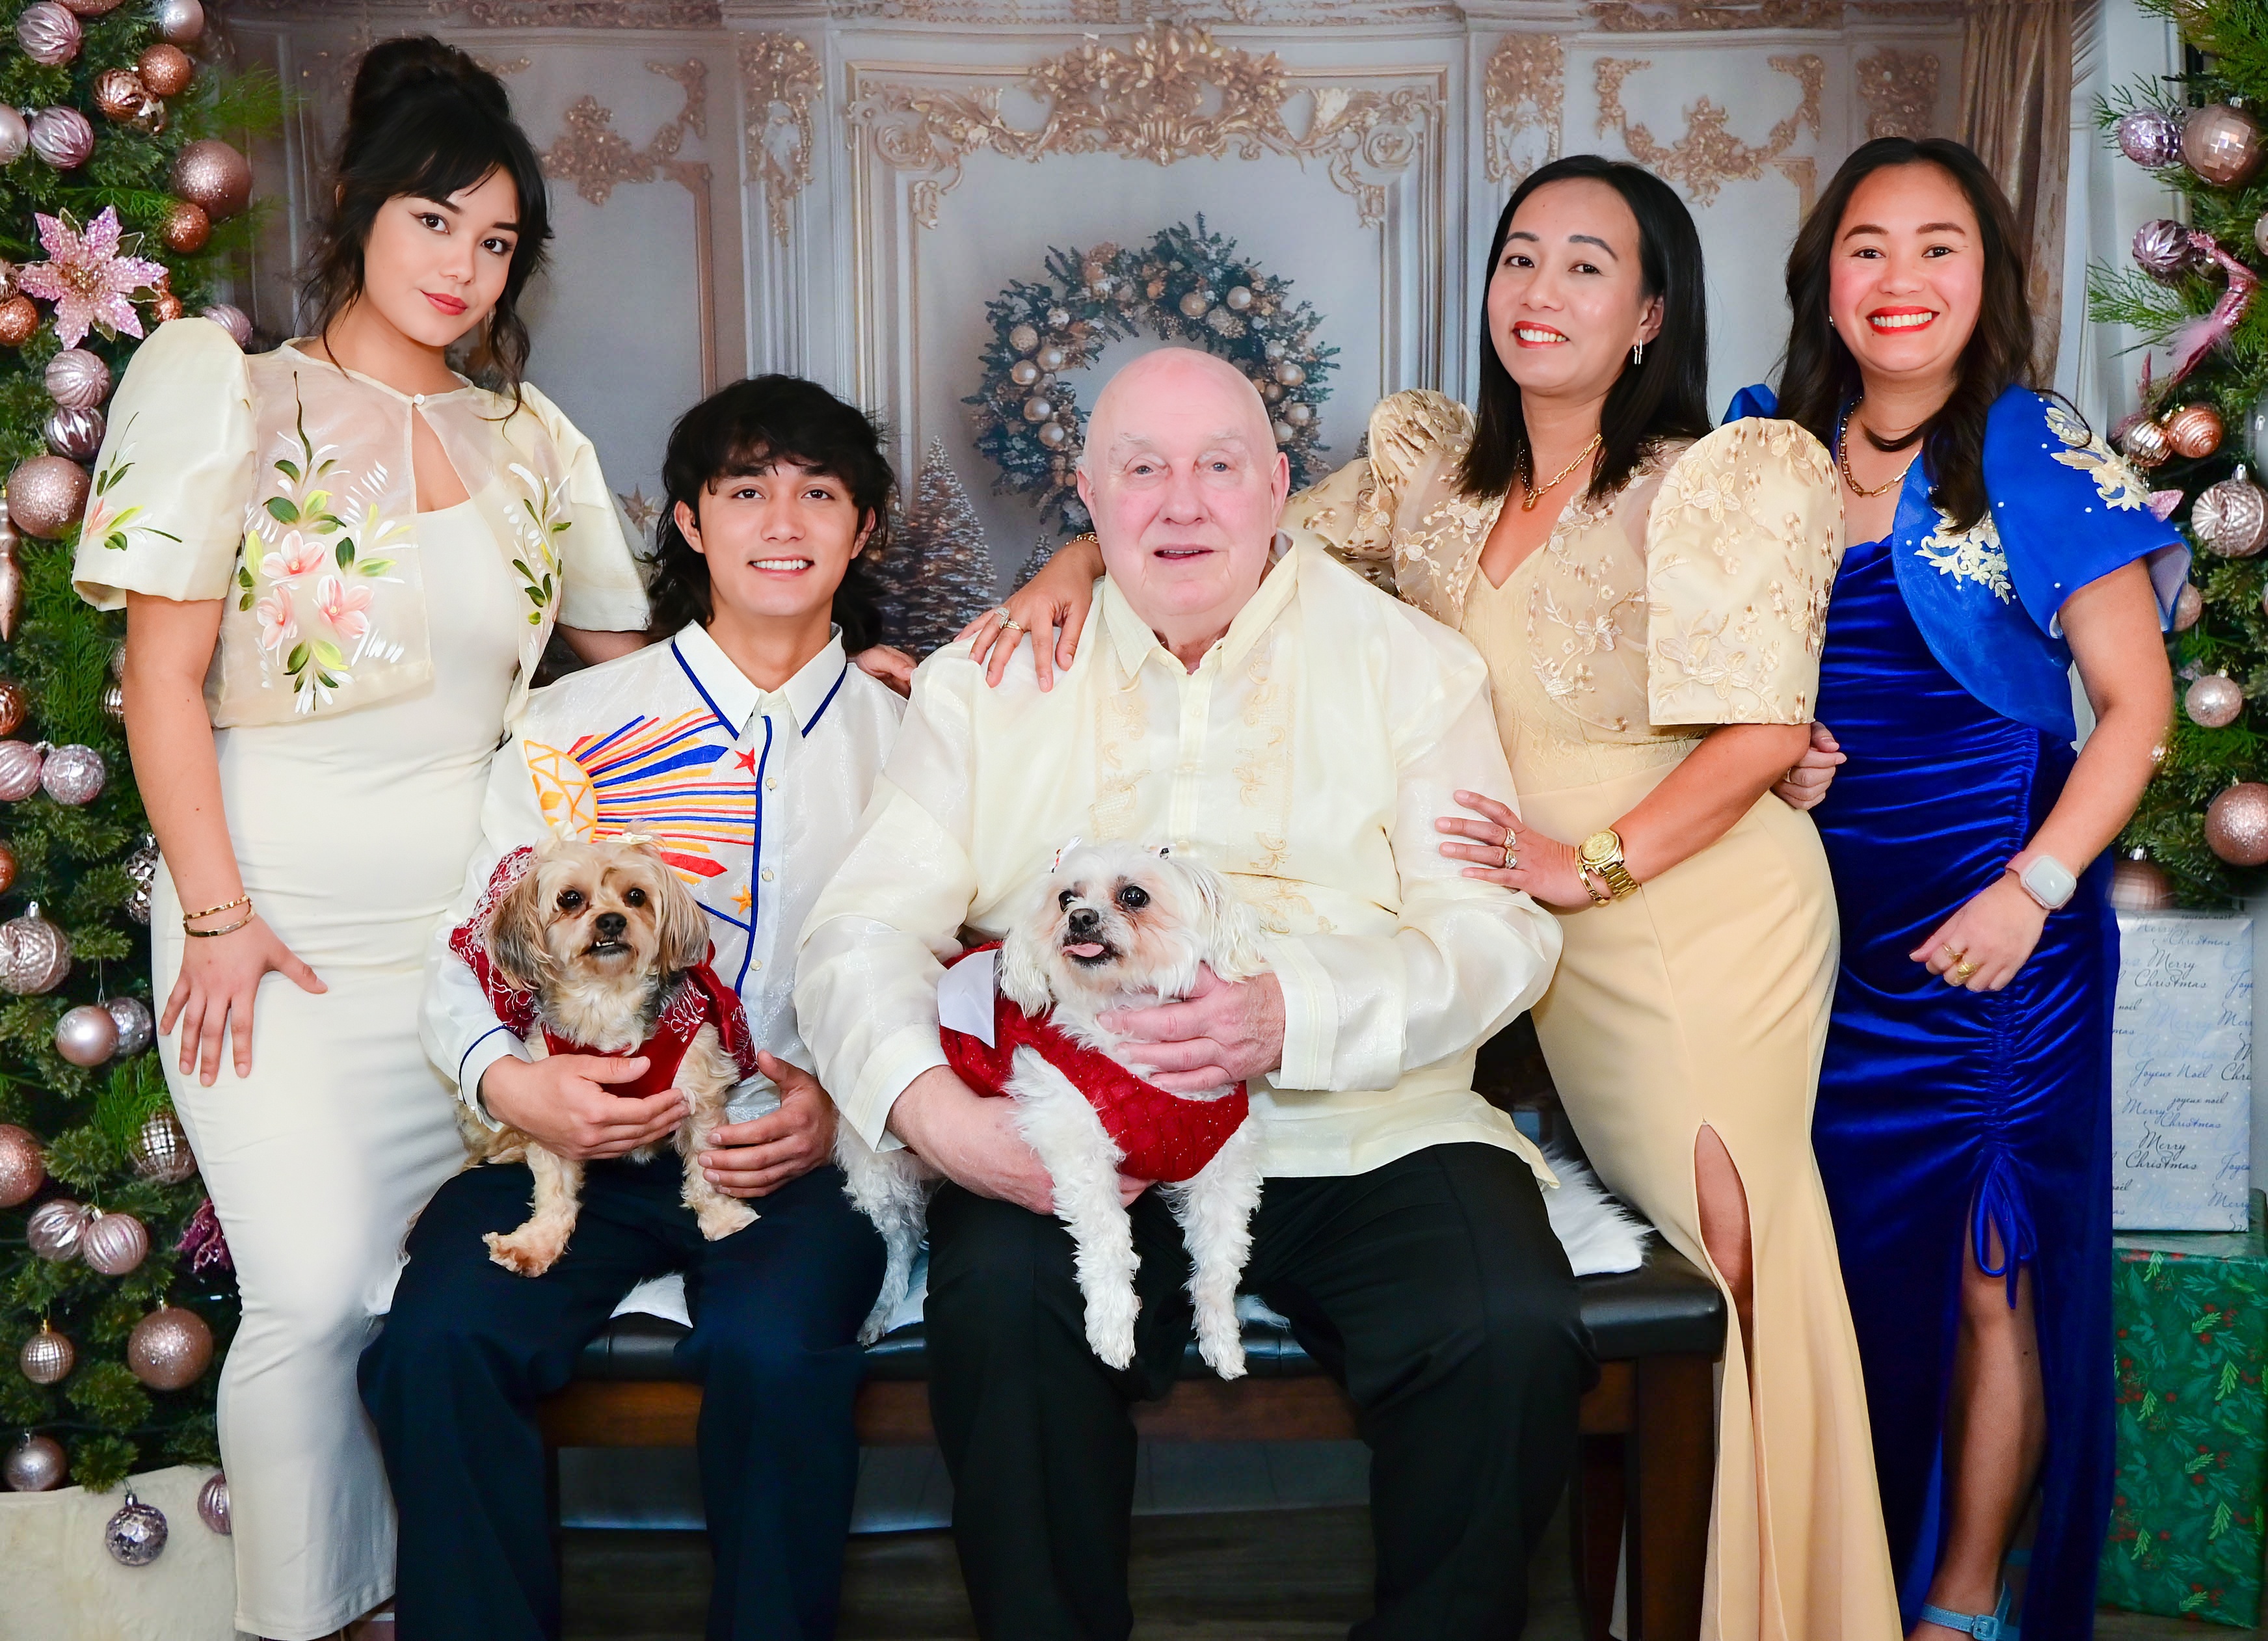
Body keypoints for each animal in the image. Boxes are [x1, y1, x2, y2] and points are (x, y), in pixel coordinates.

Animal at [456, 837, 756, 1276]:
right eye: (570, 898)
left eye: (636, 896)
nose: (612, 921)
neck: (606, 1000)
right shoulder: (550, 1114)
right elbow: (553, 1191)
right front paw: (535, 1243)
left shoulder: (700, 1093)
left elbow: (707, 1166)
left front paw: (723, 1218)